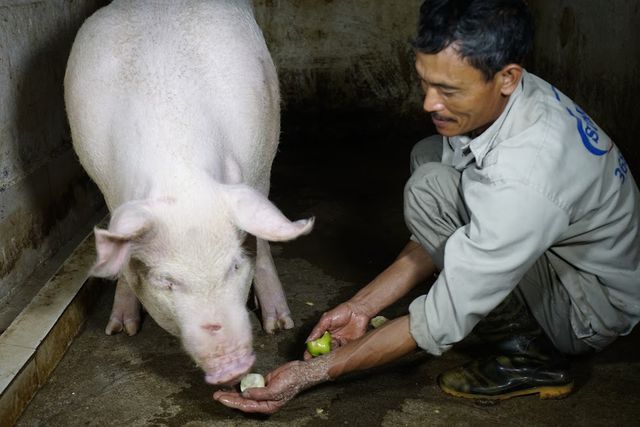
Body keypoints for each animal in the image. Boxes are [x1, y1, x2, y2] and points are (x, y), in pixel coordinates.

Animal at [63, 0, 312, 386]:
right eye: (166, 281)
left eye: (234, 265)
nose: (232, 366)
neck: (179, 174)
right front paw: (119, 331)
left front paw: (277, 326)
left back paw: (279, 322)